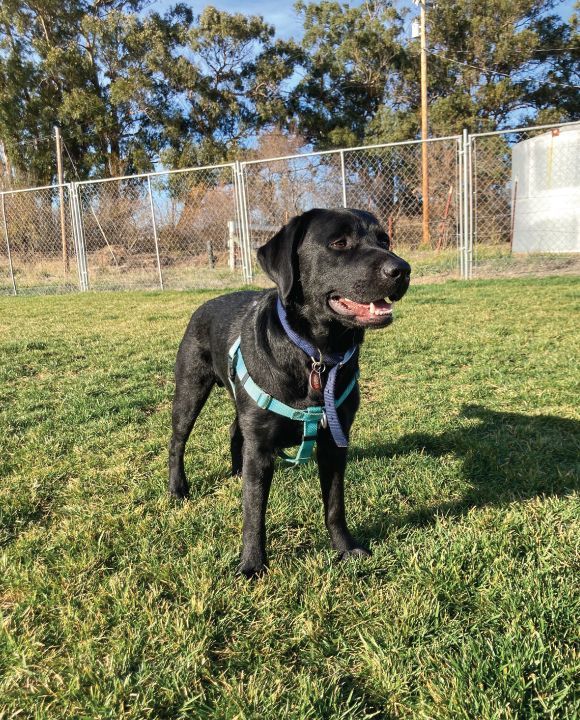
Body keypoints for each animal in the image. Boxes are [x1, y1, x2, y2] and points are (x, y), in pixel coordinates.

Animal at [170, 205, 410, 576]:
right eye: (339, 243)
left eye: (384, 240)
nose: (402, 270)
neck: (316, 355)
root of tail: (203, 304)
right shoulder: (261, 445)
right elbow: (253, 513)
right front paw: (252, 565)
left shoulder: (335, 441)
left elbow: (335, 505)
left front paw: (345, 548)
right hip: (190, 388)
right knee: (177, 441)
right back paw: (177, 489)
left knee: (234, 429)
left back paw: (236, 470)